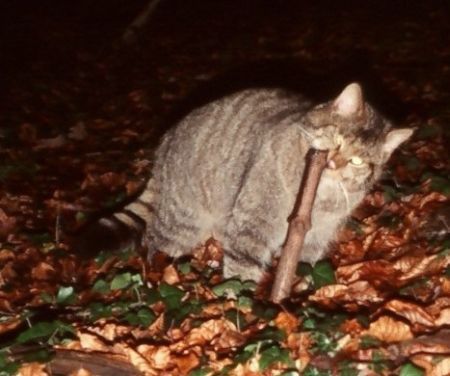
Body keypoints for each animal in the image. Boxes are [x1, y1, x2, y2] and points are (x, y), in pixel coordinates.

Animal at [79, 83, 414, 282]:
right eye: (336, 140)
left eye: (358, 161)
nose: (332, 163)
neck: (320, 198)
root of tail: (166, 141)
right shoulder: (255, 222)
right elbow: (243, 265)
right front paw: (238, 305)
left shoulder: (317, 234)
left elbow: (305, 263)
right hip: (182, 223)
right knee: (154, 242)